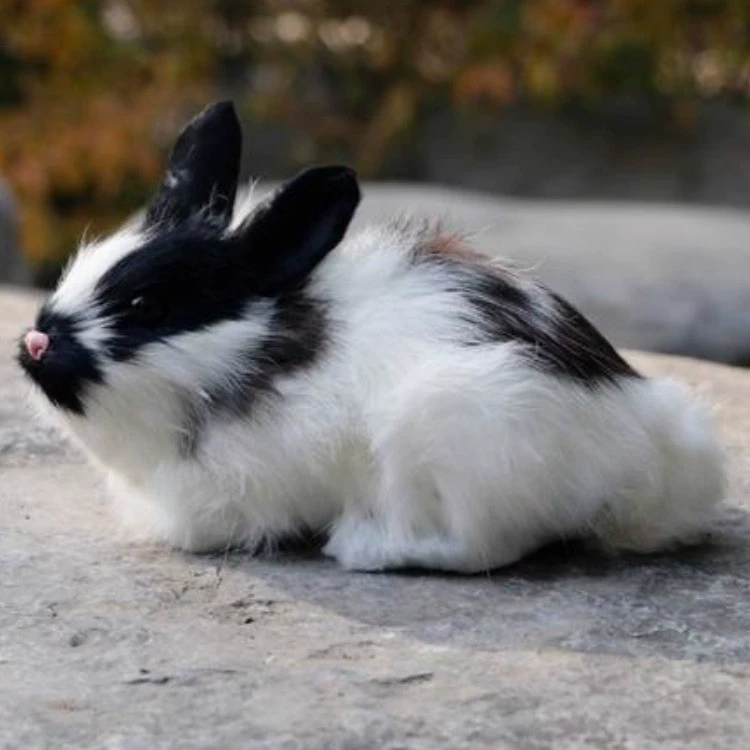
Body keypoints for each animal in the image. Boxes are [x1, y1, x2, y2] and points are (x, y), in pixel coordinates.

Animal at [17, 101, 726, 573]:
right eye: (81, 266)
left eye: (147, 304)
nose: (35, 343)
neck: (252, 348)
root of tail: (654, 449)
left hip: (460, 424)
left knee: (487, 547)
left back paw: (366, 546)